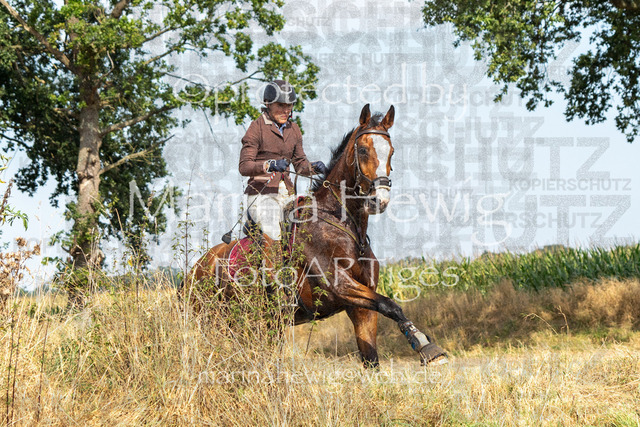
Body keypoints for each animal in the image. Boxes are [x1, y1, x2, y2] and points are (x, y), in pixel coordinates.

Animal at [182, 104, 447, 367]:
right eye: (362, 150)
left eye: (391, 151)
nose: (378, 201)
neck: (346, 228)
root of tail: (195, 270)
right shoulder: (340, 286)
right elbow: (390, 305)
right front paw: (425, 345)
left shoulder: (362, 309)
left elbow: (372, 353)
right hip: (213, 320)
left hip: (260, 323)